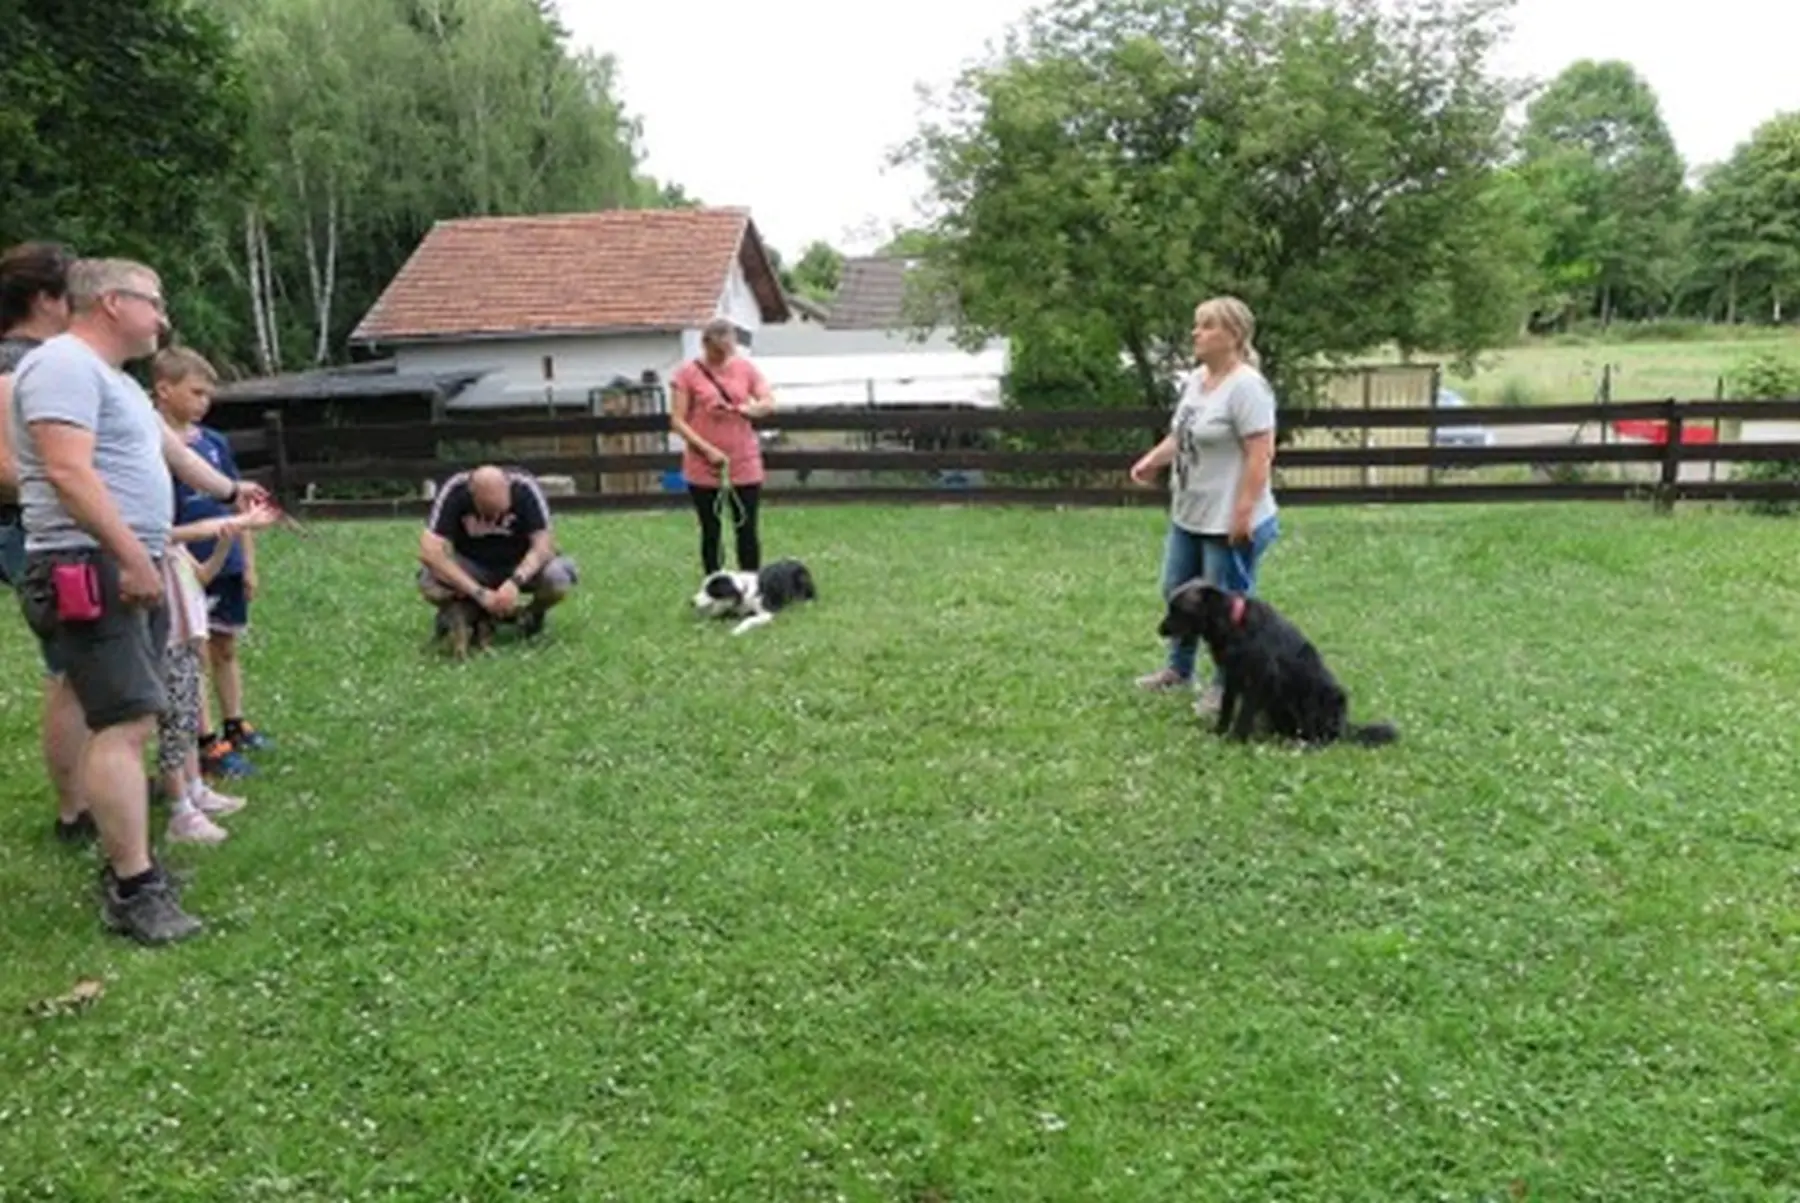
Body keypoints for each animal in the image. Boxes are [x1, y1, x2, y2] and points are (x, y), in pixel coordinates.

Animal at [1159, 583, 1396, 752]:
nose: (1158, 630)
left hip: (1320, 697)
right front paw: (1219, 731)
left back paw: (1303, 746)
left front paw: (1235, 740)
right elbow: (1227, 707)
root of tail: (1345, 726)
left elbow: (1244, 713)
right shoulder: (1233, 677)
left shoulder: (1259, 679)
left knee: (1324, 739)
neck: (1234, 623)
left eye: (1177, 609)